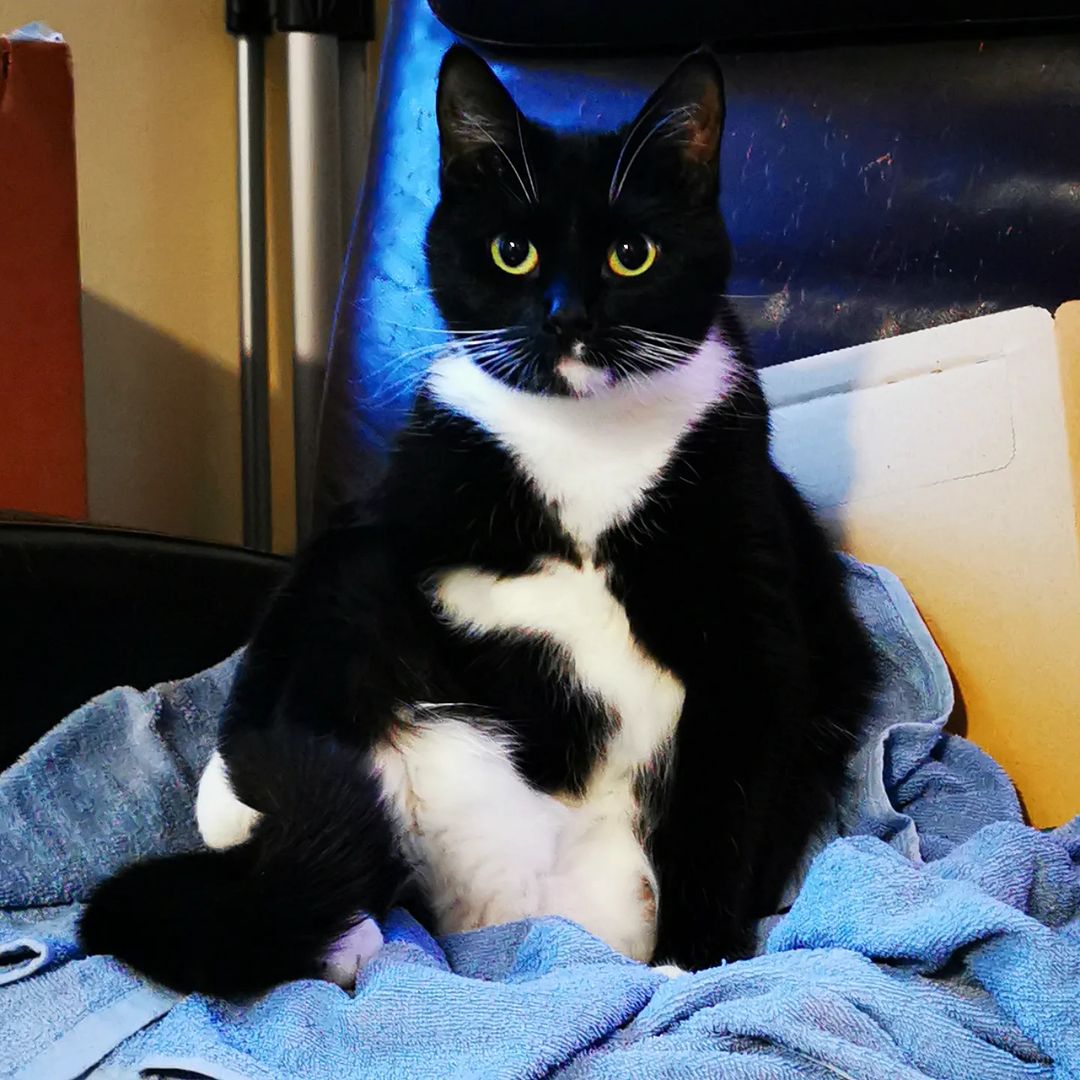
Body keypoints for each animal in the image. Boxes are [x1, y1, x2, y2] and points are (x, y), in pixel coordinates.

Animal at [78, 48, 876, 993]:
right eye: (512, 251)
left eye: (633, 255)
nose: (567, 317)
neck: (584, 448)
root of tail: (521, 926)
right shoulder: (388, 507)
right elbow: (293, 600)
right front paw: (228, 801)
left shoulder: (753, 617)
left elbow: (728, 794)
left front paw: (698, 960)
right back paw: (337, 931)